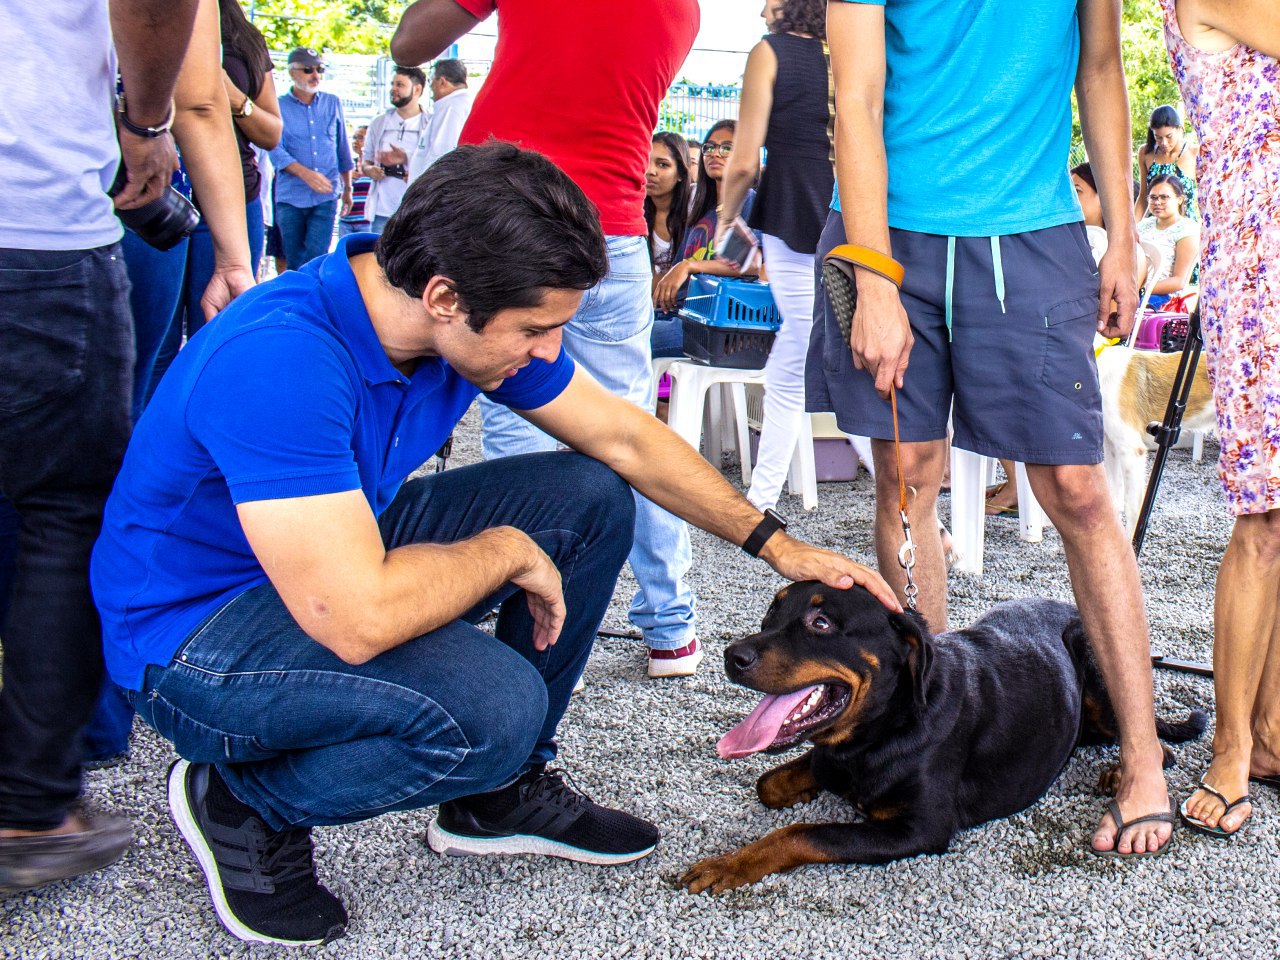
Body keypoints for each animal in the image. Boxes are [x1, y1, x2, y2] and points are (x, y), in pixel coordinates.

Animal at [686, 583, 1203, 901]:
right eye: (772, 611)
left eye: (822, 623)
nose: (732, 656)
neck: (882, 728)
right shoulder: (831, 759)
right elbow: (769, 785)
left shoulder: (918, 830)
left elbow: (801, 834)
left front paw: (730, 864)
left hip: (1102, 668)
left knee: (1153, 741)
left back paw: (1119, 772)